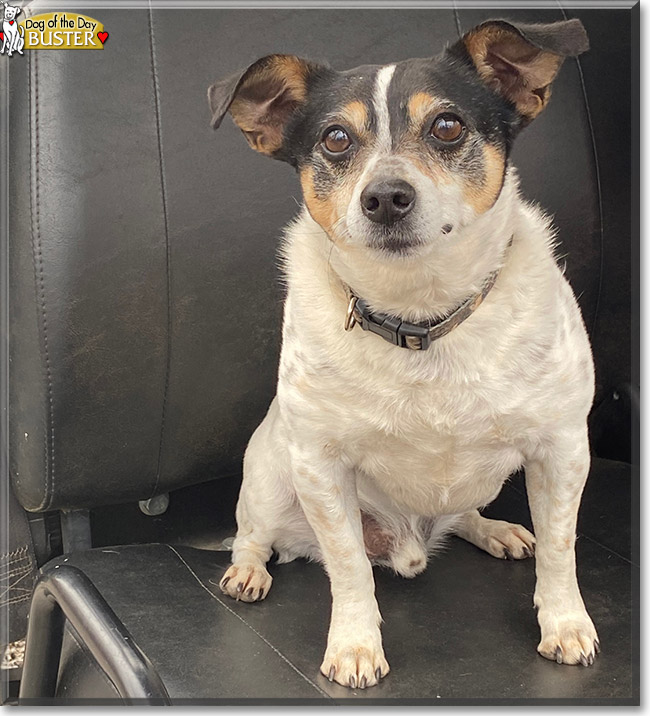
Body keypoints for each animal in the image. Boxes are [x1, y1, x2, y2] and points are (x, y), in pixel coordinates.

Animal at [208, 16, 596, 688]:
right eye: (336, 139)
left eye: (447, 126)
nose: (385, 196)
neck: (422, 316)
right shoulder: (322, 467)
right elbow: (349, 569)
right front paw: (355, 647)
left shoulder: (563, 448)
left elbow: (559, 549)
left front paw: (565, 625)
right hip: (269, 480)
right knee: (254, 534)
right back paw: (248, 571)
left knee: (464, 516)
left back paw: (495, 530)